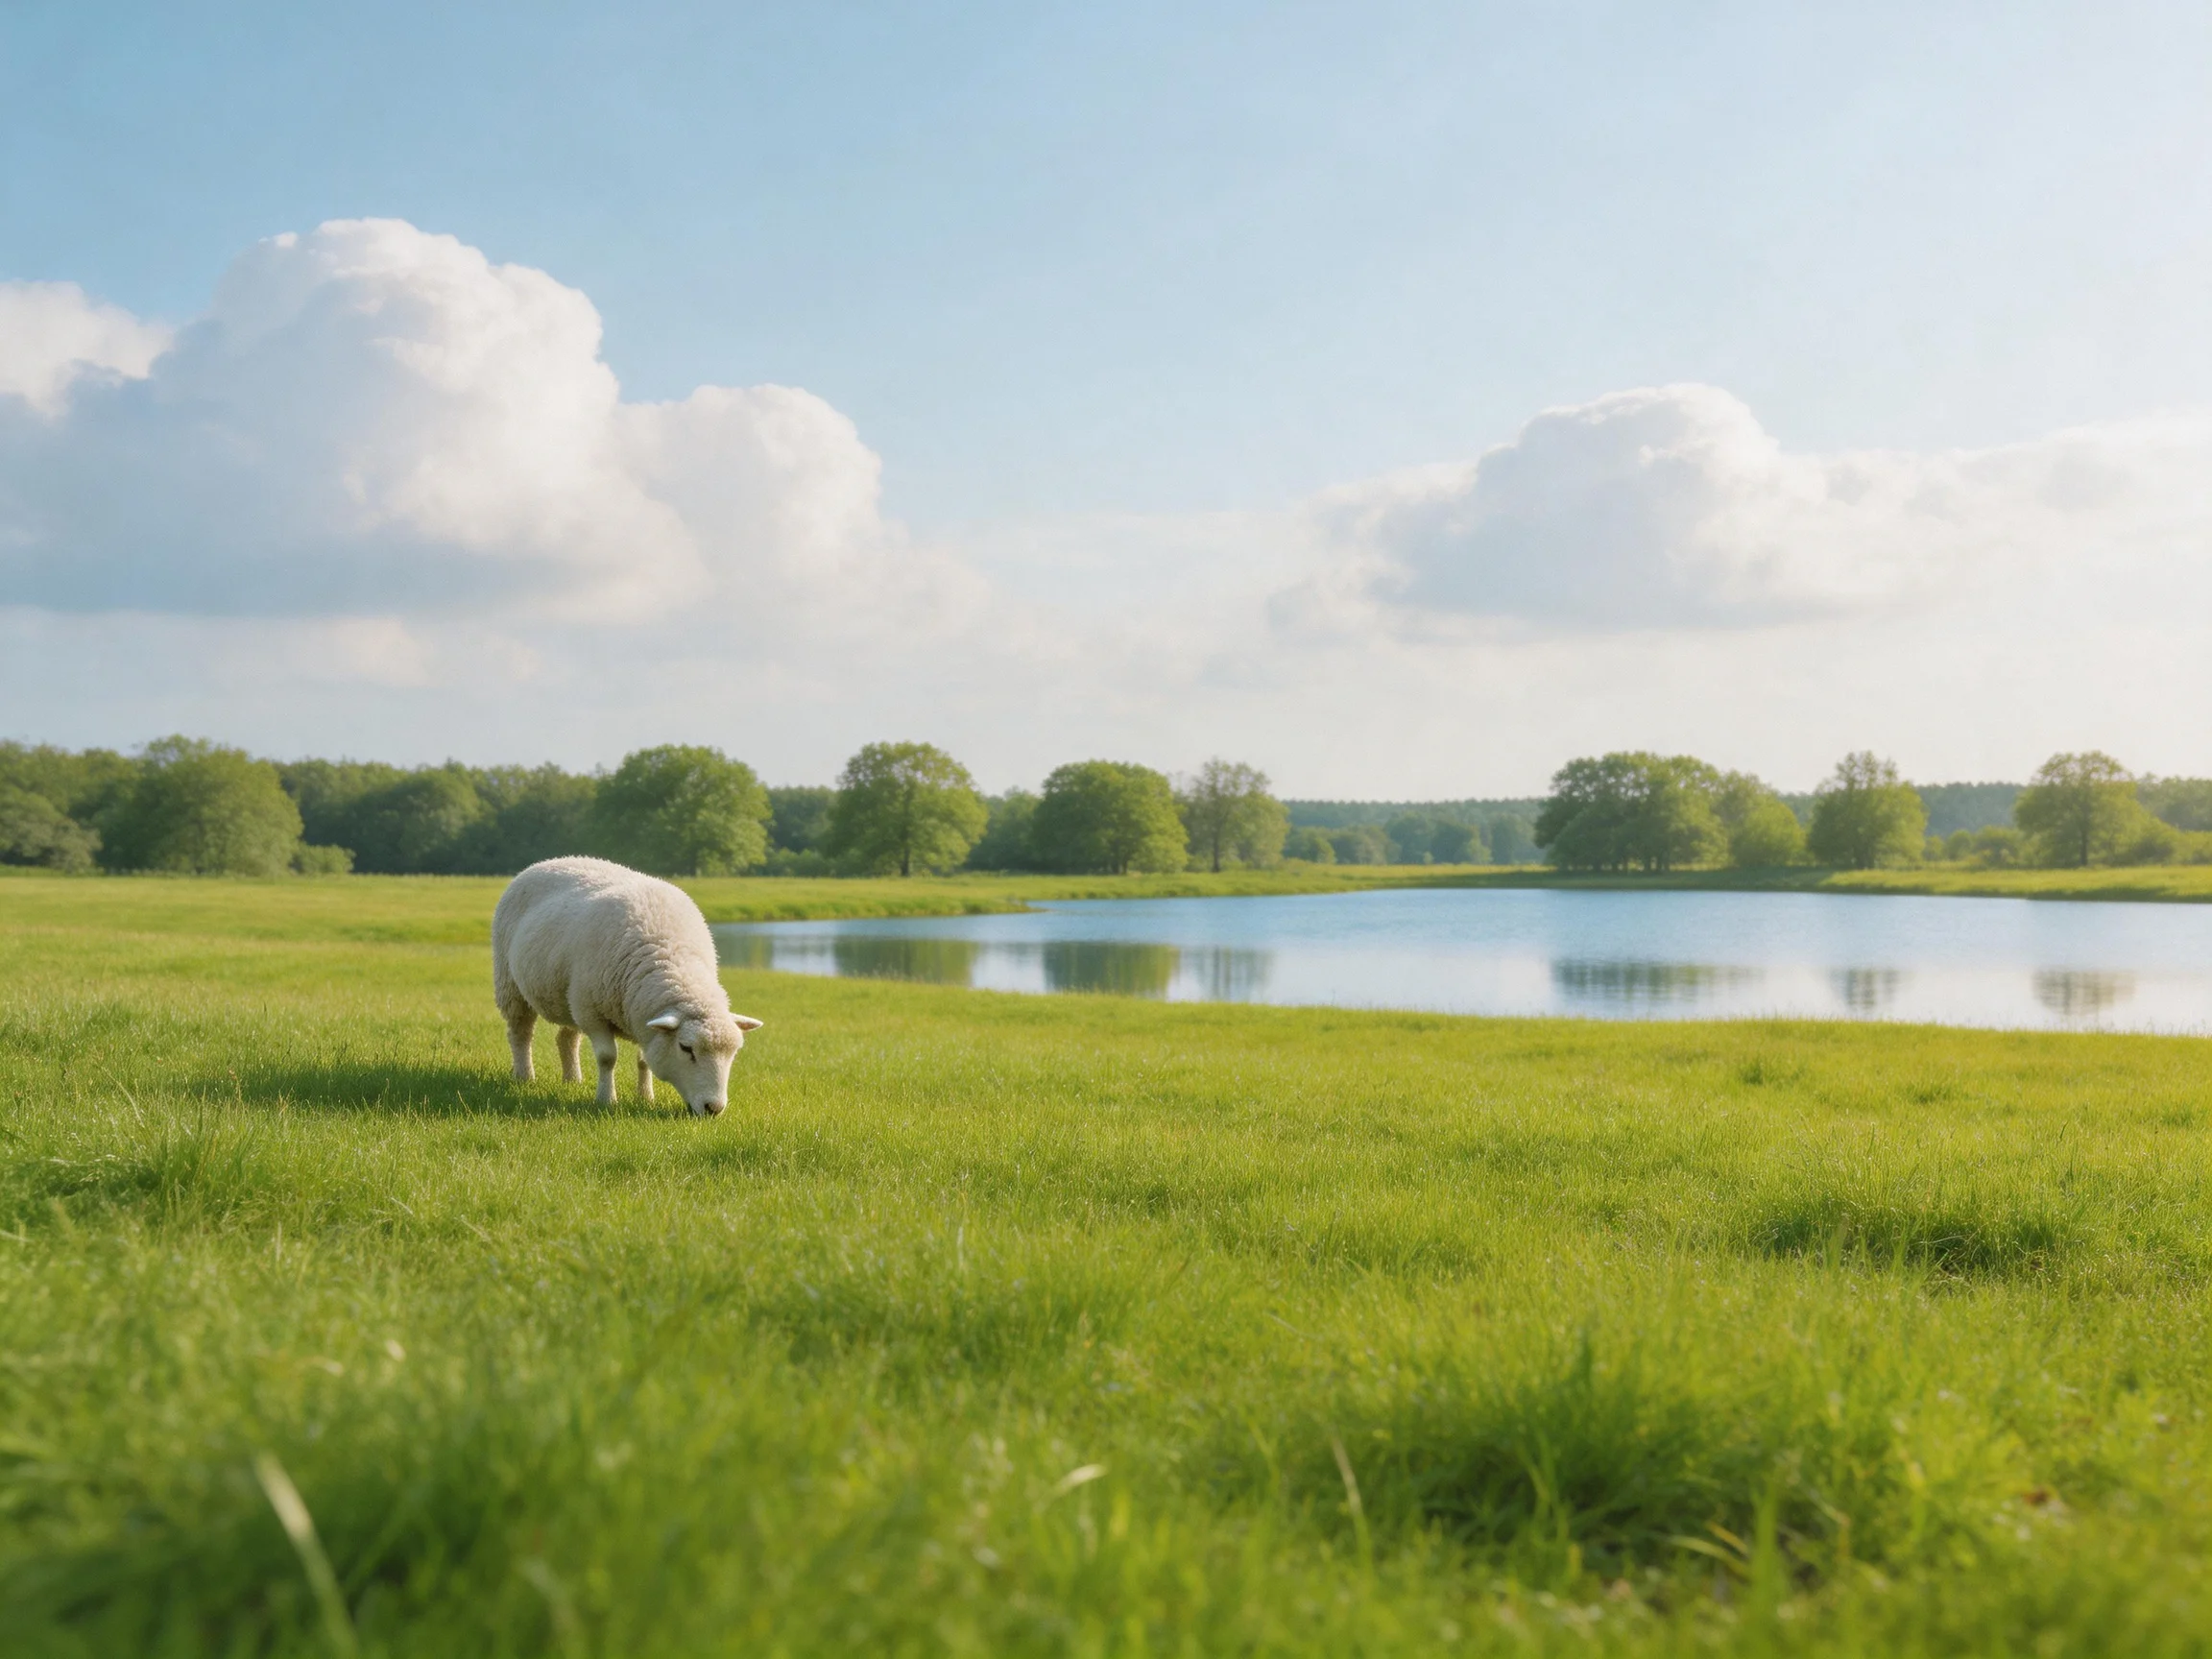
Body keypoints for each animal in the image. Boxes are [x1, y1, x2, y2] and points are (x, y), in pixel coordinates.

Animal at [492, 856, 762, 1116]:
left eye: (733, 1053)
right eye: (686, 1048)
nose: (713, 1109)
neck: (669, 956)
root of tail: (546, 862)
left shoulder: (644, 1021)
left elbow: (644, 1060)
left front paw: (646, 1097)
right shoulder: (592, 1013)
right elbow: (607, 1058)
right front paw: (606, 1100)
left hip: (569, 997)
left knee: (566, 1038)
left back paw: (572, 1080)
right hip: (511, 985)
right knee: (520, 1033)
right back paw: (525, 1076)